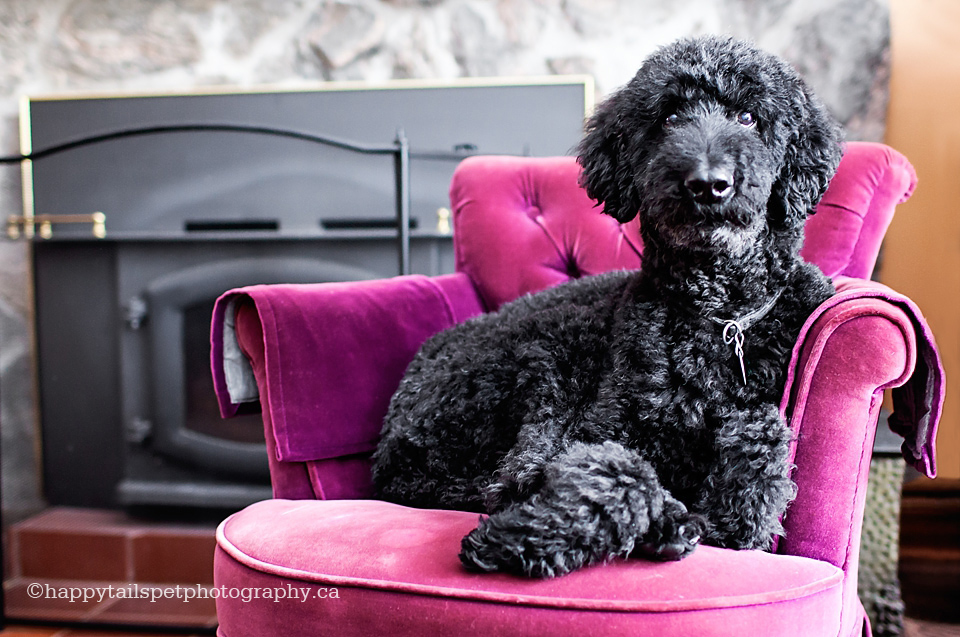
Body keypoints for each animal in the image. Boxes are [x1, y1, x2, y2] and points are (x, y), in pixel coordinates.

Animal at [368, 37, 840, 580]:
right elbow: (621, 474)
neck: (716, 315)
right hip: (543, 365)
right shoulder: (599, 428)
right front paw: (517, 538)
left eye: (748, 117)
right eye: (669, 116)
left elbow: (756, 451)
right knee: (515, 474)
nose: (707, 183)